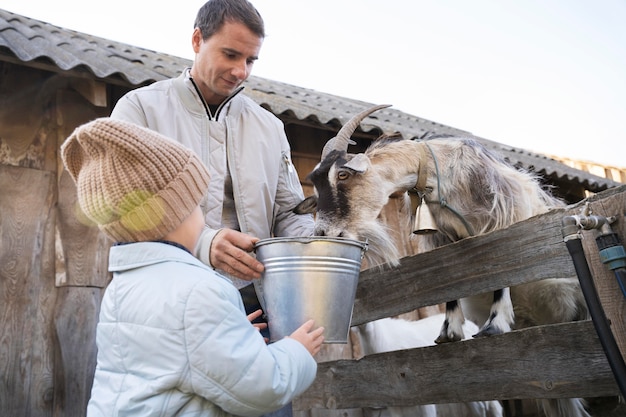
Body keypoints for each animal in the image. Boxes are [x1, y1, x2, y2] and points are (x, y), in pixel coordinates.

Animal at [292, 105, 588, 416]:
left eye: (343, 175)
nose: (323, 233)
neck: (437, 171)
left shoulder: (500, 218)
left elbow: (500, 270)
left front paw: (494, 325)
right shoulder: (442, 238)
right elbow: (448, 283)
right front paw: (449, 331)